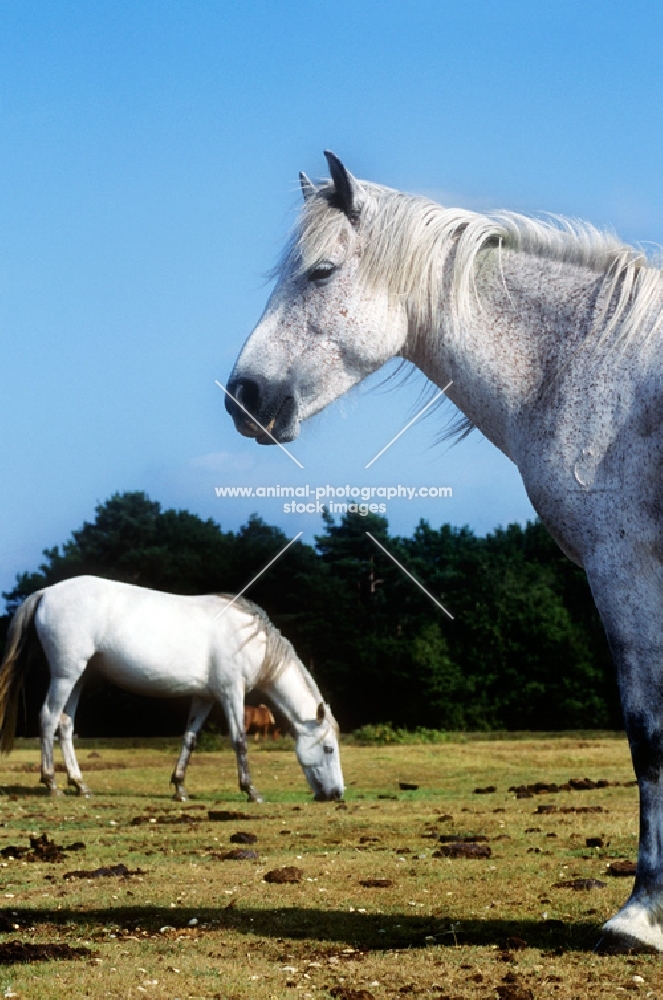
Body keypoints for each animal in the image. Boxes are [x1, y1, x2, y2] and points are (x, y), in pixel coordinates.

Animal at [0, 576, 344, 800]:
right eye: (328, 748)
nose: (337, 793)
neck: (248, 638)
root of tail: (47, 592)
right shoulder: (231, 692)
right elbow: (240, 741)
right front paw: (251, 790)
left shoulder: (204, 697)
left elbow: (189, 739)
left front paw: (179, 787)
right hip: (65, 674)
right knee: (48, 718)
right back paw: (52, 783)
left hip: (78, 677)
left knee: (65, 724)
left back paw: (80, 784)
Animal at [228, 150, 663, 952]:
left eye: (320, 272)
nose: (243, 396)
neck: (595, 362)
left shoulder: (625, 569)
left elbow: (647, 735)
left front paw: (639, 914)